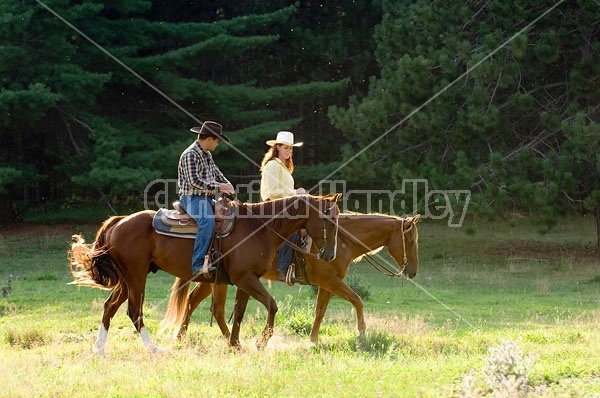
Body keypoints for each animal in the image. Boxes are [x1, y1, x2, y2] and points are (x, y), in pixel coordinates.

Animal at [68, 194, 340, 352]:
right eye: (329, 220)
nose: (330, 255)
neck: (259, 227)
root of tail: (119, 220)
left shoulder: (245, 280)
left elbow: (238, 312)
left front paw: (235, 344)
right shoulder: (245, 278)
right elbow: (272, 305)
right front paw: (260, 342)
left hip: (127, 279)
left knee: (110, 307)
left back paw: (99, 348)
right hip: (136, 277)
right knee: (134, 311)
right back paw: (153, 349)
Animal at [162, 213, 420, 344]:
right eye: (411, 240)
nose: (413, 271)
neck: (342, 240)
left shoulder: (327, 283)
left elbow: (320, 311)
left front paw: (313, 340)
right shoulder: (330, 281)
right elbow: (357, 300)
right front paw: (362, 334)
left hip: (213, 280)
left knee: (195, 302)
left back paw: (181, 337)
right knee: (208, 306)